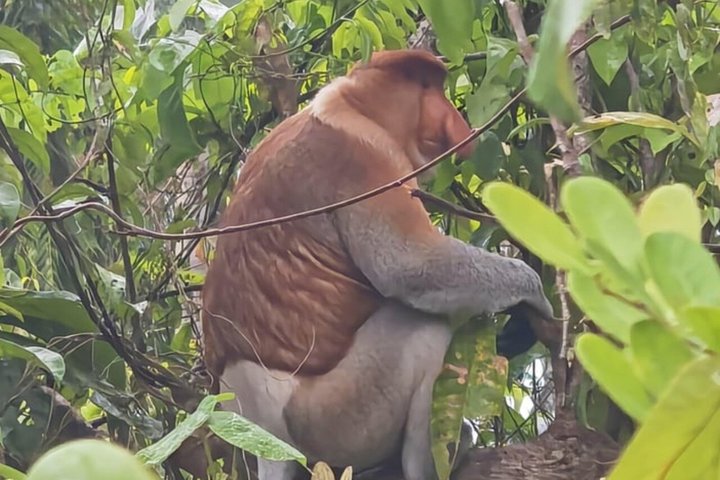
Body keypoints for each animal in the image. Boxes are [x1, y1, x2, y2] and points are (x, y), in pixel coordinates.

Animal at [201, 49, 553, 480]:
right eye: (426, 87)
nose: (457, 123)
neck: (350, 105)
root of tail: (263, 429)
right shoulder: (368, 161)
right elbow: (410, 265)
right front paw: (533, 294)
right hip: (335, 416)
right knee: (423, 329)